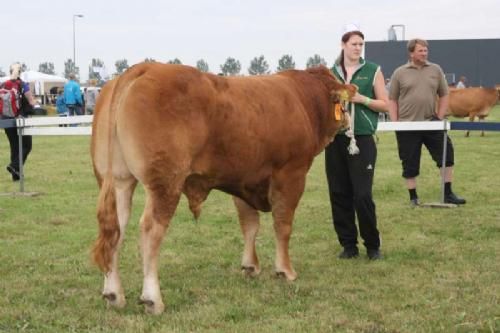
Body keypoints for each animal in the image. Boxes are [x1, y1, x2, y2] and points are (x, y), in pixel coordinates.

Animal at [90, 63, 356, 314]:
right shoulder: (291, 174)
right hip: (165, 184)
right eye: (341, 102)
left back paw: (113, 294)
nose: (347, 121)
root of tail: (144, 67)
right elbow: (283, 224)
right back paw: (153, 299)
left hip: (118, 180)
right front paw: (285, 270)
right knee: (149, 231)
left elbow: (249, 224)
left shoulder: (244, 180)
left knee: (116, 229)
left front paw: (250, 266)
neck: (303, 99)